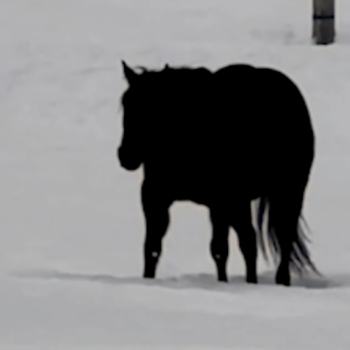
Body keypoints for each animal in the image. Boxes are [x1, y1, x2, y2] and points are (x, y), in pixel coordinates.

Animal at [117, 60, 318, 286]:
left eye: (154, 108)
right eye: (126, 103)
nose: (126, 155)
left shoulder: (221, 201)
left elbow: (220, 249)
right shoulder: (155, 197)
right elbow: (152, 247)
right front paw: (147, 281)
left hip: (288, 192)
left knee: (283, 237)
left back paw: (281, 280)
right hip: (241, 203)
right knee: (249, 240)